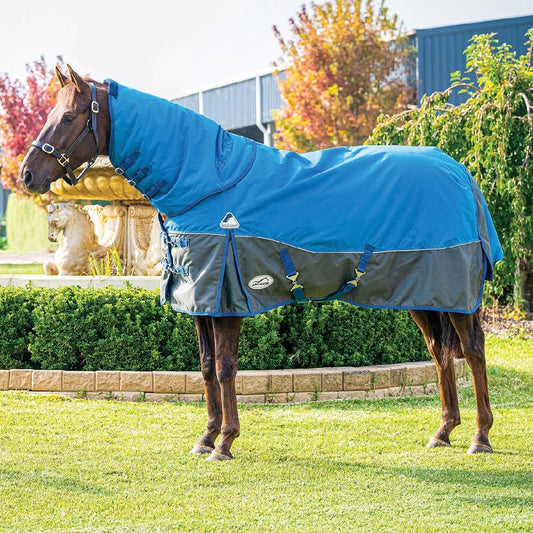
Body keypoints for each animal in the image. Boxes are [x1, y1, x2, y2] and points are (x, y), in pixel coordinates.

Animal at [20, 65, 494, 458]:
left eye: (68, 117)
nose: (27, 175)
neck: (208, 183)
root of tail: (461, 173)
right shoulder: (200, 300)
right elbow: (206, 367)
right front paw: (206, 437)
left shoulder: (226, 299)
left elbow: (226, 368)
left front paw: (225, 443)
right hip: (425, 296)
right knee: (440, 352)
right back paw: (443, 432)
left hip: (457, 296)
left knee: (471, 350)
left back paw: (480, 436)